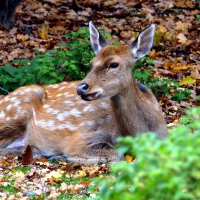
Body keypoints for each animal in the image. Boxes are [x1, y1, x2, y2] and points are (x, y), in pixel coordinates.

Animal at [0, 21, 167, 162]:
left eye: (114, 64)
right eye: (92, 63)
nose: (81, 87)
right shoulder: (84, 137)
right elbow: (115, 156)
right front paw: (60, 156)